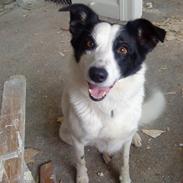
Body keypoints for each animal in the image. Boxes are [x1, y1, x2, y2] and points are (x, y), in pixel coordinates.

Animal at [58, 4, 166, 183]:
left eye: (123, 49)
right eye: (89, 43)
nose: (97, 74)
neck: (108, 105)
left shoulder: (124, 141)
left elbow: (125, 160)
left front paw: (125, 177)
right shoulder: (77, 140)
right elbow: (81, 161)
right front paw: (82, 177)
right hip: (65, 133)